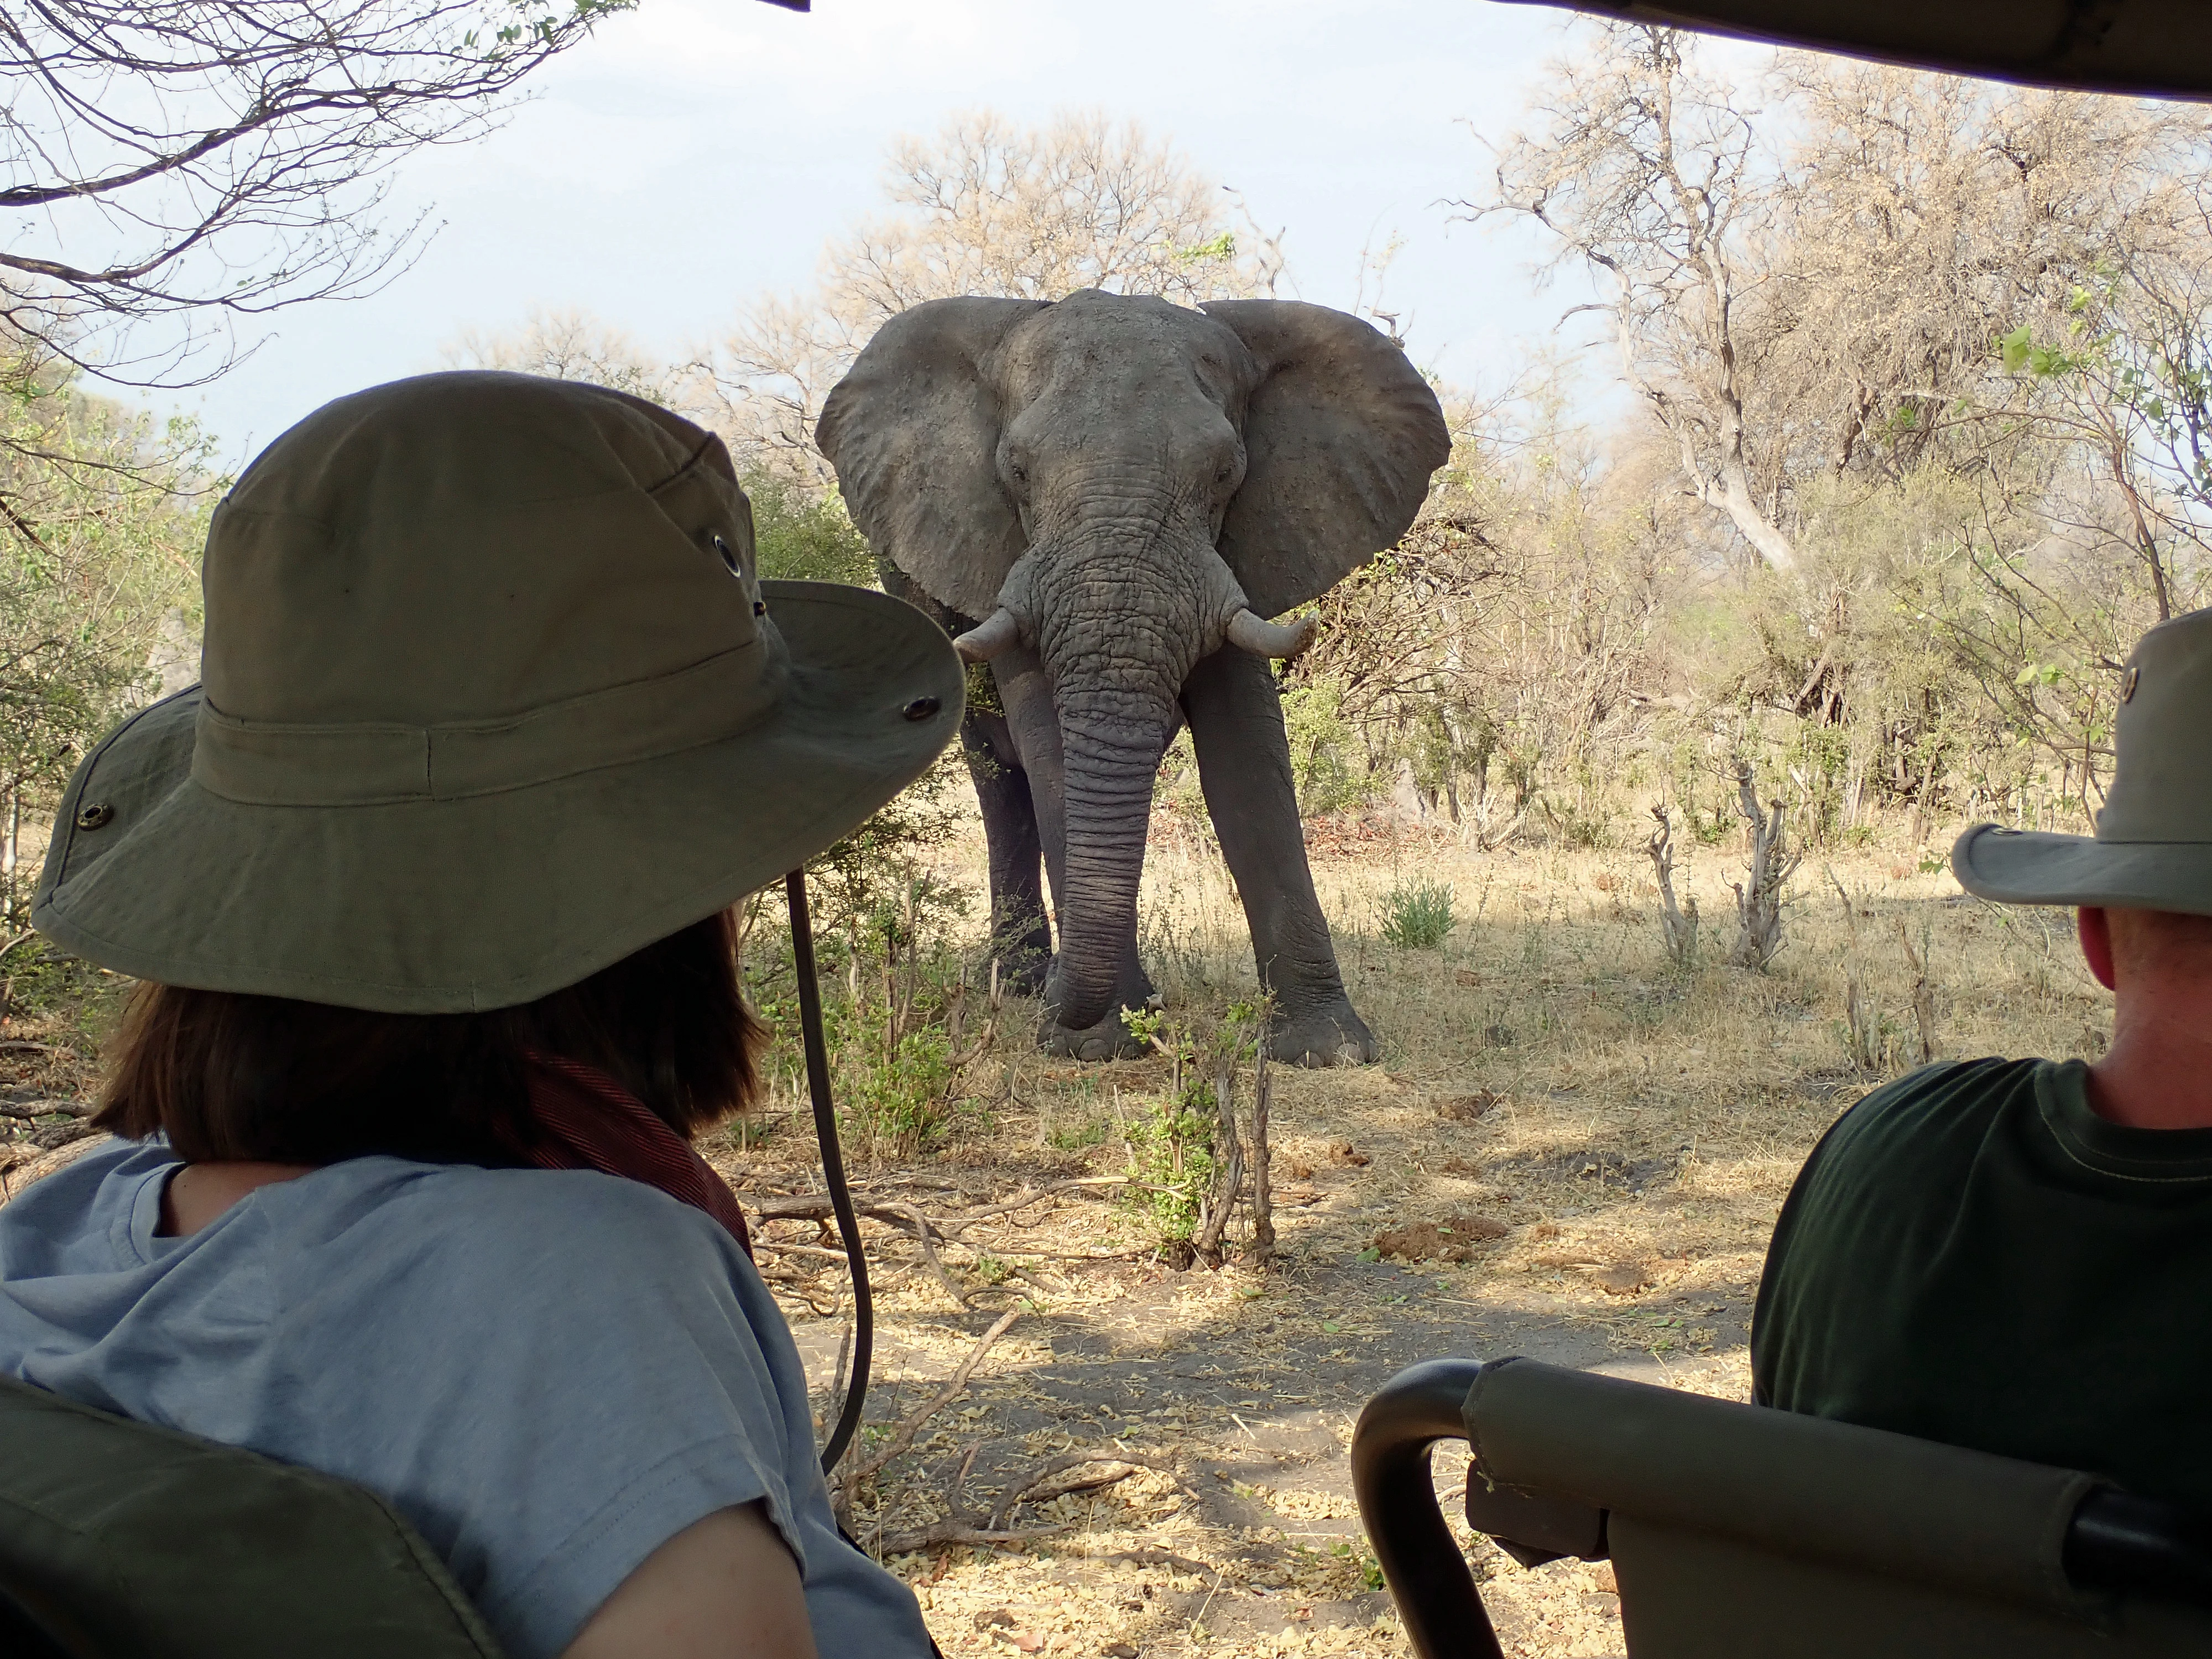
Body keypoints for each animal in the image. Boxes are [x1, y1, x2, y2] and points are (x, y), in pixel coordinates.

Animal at [817, 288, 1449, 1065]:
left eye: (1225, 473)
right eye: (1016, 471)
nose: (1077, 1014)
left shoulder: (1233, 552)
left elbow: (1247, 762)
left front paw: (1328, 1051)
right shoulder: (1001, 553)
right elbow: (1051, 751)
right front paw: (1096, 1043)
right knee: (999, 781)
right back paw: (1027, 982)